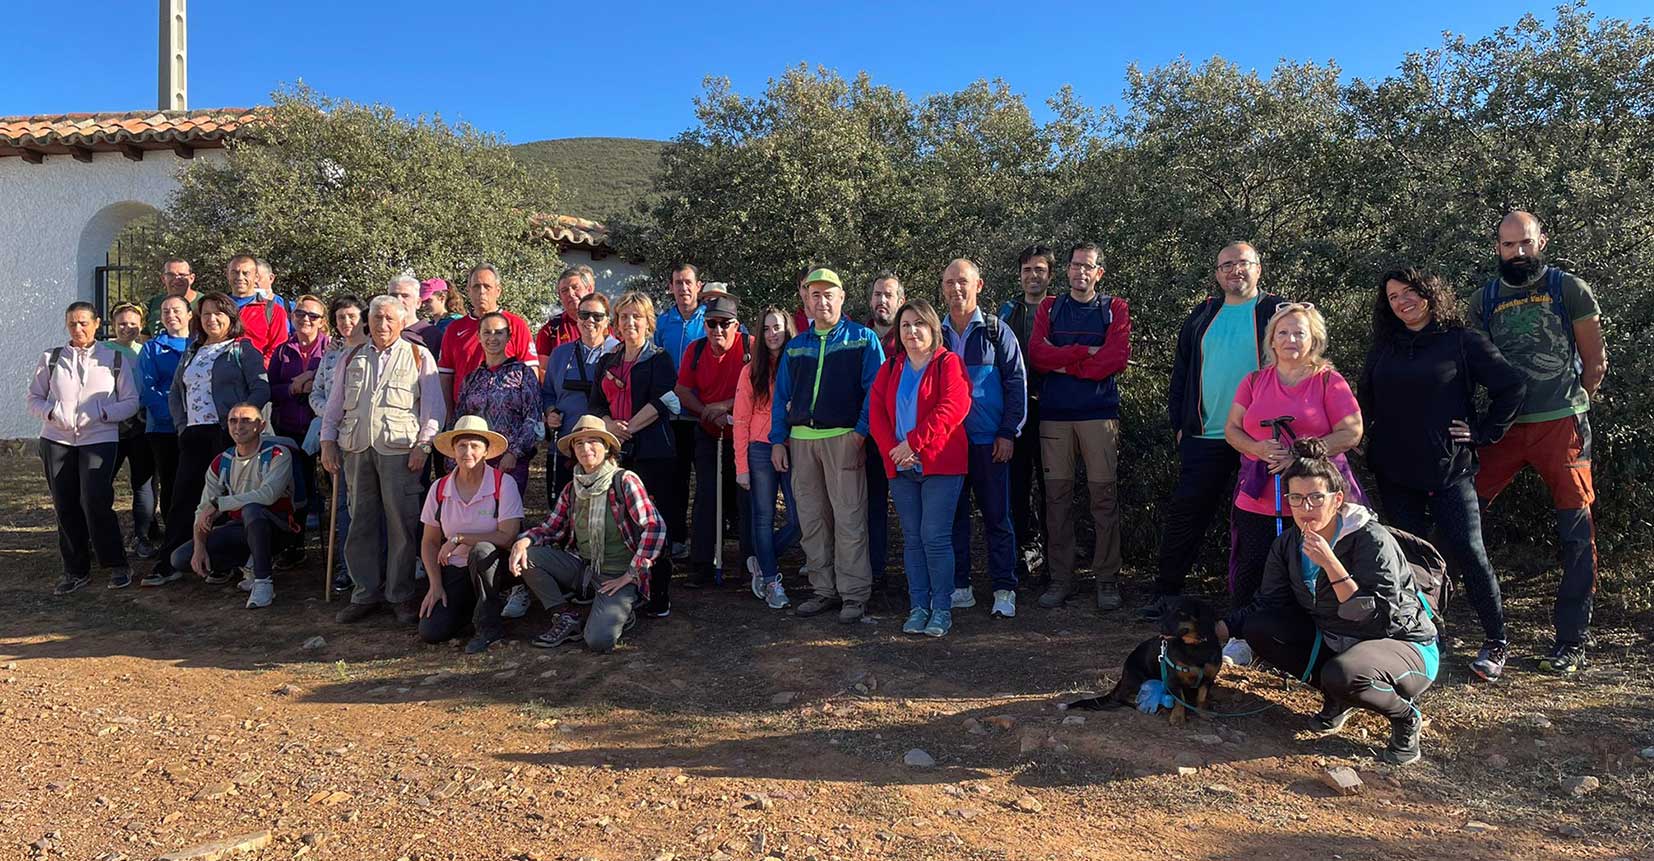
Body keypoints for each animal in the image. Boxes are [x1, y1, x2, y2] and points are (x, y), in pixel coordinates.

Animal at [1065, 594, 1223, 720]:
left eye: (1182, 613)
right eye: (1166, 611)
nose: (1161, 629)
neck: (1194, 646)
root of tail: (1123, 676)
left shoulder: (1208, 679)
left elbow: (1201, 697)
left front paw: (1203, 712)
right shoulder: (1173, 680)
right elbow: (1179, 700)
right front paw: (1178, 718)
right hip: (1142, 680)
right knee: (1124, 698)